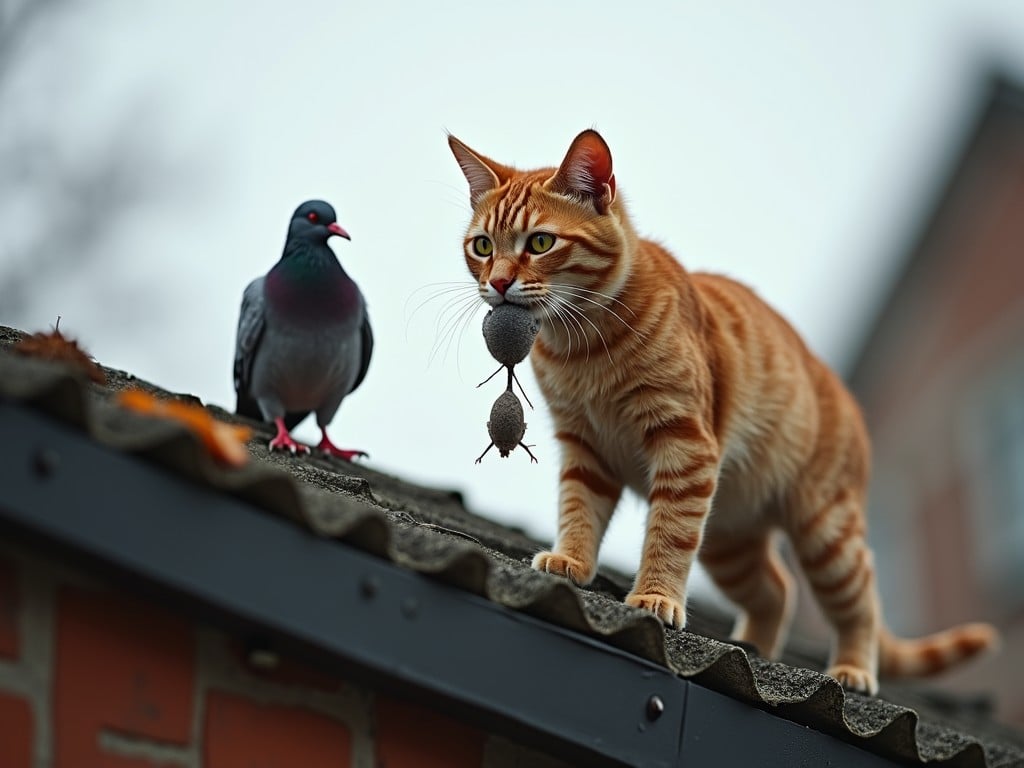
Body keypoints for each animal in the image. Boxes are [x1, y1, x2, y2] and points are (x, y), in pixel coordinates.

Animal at [450, 129, 999, 696]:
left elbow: (667, 536)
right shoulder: (585, 448)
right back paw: (752, 649)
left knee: (863, 596)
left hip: (826, 535)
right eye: (483, 246)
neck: (580, 349)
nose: (497, 283)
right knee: (779, 590)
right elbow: (578, 510)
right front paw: (572, 561)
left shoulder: (683, 442)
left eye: (540, 243)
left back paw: (853, 669)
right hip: (729, 545)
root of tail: (842, 391)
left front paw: (655, 597)